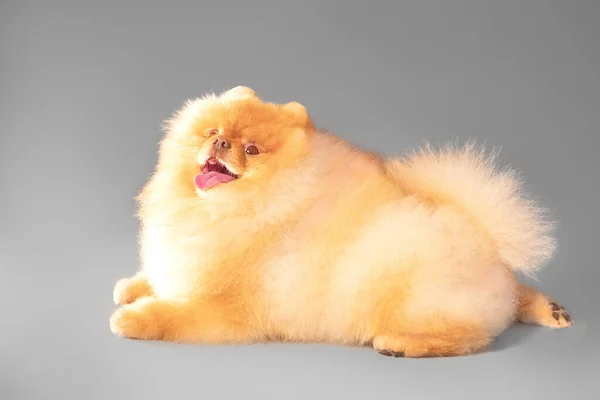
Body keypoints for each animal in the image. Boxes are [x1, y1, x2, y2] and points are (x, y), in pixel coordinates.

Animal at [109, 86, 572, 356]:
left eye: (252, 150)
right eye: (211, 132)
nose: (221, 143)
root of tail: (485, 239)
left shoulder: (221, 308)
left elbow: (172, 315)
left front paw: (132, 319)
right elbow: (156, 279)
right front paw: (130, 287)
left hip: (413, 294)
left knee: (470, 335)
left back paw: (398, 344)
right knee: (515, 295)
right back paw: (551, 309)